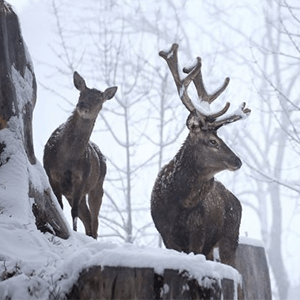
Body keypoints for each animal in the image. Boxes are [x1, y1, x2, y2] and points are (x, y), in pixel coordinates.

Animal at [44, 72, 118, 239]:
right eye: (81, 93)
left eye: (99, 99)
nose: (82, 105)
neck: (66, 159)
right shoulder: (51, 174)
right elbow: (60, 207)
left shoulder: (81, 178)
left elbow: (74, 212)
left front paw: (73, 233)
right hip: (72, 192)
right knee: (87, 217)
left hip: (97, 186)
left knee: (94, 220)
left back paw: (93, 236)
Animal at [150, 43, 251, 266]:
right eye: (213, 141)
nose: (238, 161)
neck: (177, 204)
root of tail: (237, 201)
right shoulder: (165, 234)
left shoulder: (198, 233)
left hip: (230, 237)